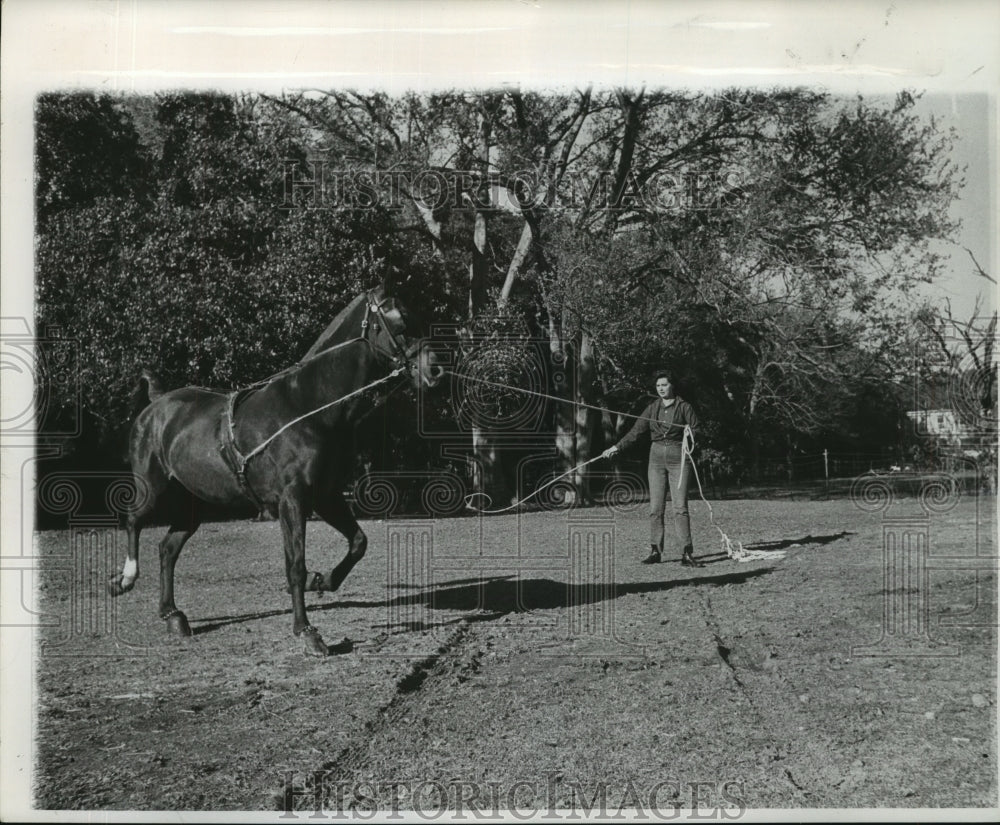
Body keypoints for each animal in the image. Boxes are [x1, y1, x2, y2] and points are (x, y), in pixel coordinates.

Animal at [106, 286, 446, 652]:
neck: (310, 406)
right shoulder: (293, 499)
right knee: (134, 521)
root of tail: (157, 404)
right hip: (153, 488)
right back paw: (124, 579)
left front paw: (320, 581)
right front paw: (307, 631)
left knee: (167, 550)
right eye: (400, 321)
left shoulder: (326, 496)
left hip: (194, 504)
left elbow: (358, 542)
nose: (435, 371)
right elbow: (295, 564)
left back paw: (173, 615)